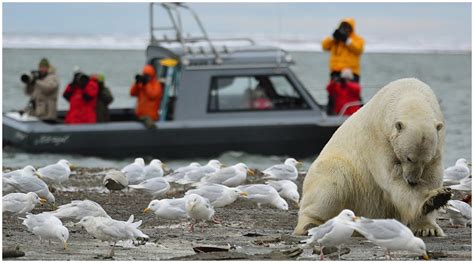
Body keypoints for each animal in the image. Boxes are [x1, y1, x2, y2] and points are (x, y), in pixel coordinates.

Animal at [294, 78, 450, 237]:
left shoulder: (438, 144)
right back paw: (311, 225)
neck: (411, 93)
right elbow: (392, 176)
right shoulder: (379, 138)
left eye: (426, 160)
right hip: (341, 174)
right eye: (408, 158)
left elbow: (432, 176)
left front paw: (428, 226)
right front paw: (432, 199)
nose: (412, 181)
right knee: (332, 185)